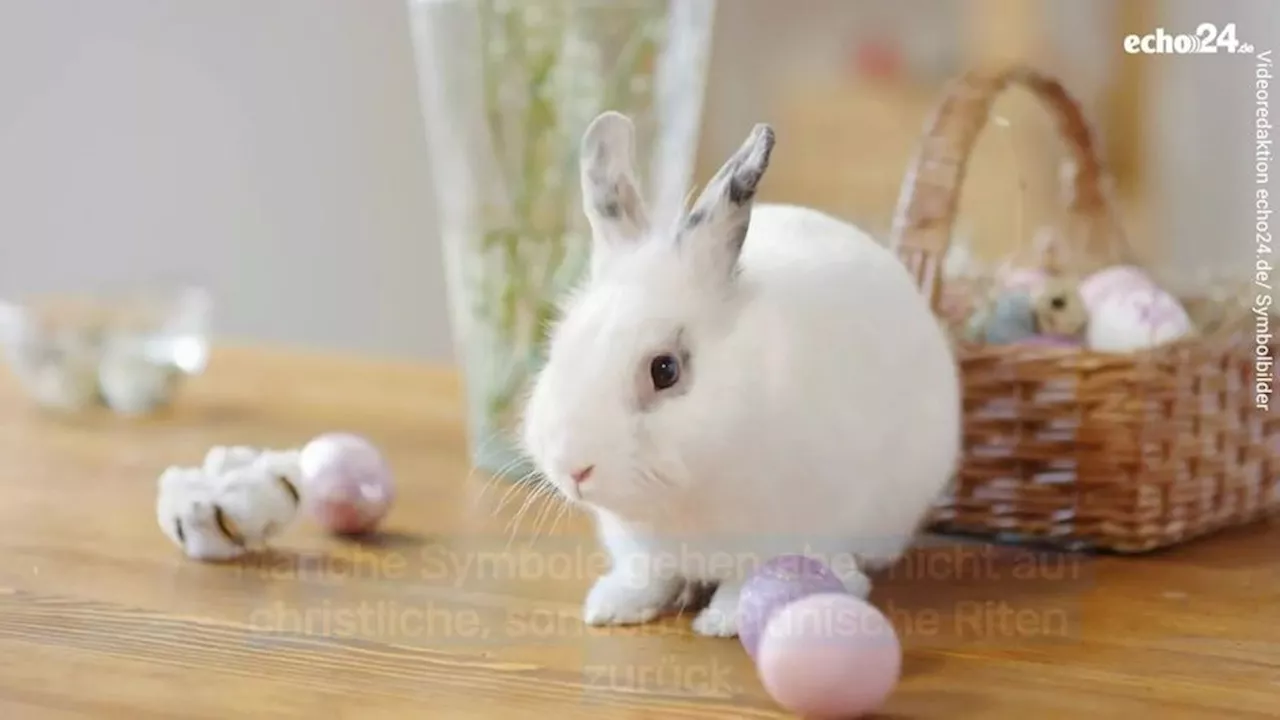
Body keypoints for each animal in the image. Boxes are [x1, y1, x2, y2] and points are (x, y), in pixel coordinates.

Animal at [519, 112, 962, 632]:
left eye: (664, 370)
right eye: (558, 347)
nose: (574, 467)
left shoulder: (782, 533)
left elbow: (750, 578)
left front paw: (722, 621)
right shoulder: (643, 550)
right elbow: (649, 574)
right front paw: (613, 608)